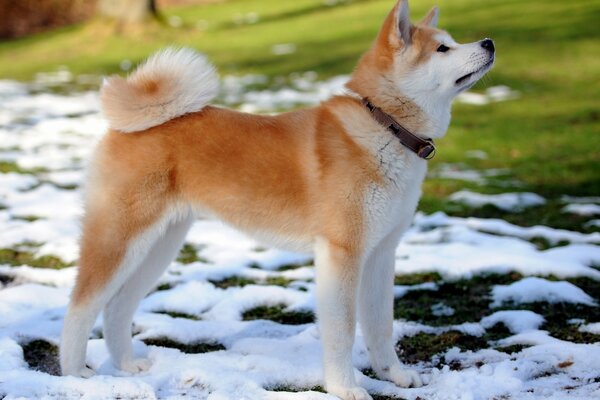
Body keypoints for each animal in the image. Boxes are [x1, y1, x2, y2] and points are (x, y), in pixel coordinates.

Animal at [61, 1, 494, 398]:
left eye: (452, 41)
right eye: (442, 49)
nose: (489, 42)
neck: (385, 127)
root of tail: (128, 126)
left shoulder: (380, 253)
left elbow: (380, 325)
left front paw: (395, 376)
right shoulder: (342, 253)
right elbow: (343, 330)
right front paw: (345, 388)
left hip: (160, 245)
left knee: (117, 306)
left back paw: (127, 365)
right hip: (120, 238)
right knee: (81, 305)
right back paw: (75, 373)